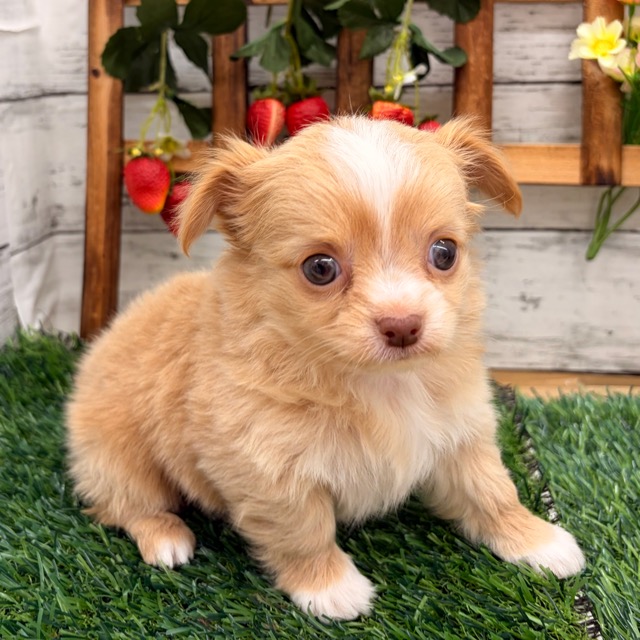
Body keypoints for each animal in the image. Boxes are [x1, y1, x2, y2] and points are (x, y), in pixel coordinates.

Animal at [66, 116, 585, 620]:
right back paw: (166, 538)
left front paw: (538, 540)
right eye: (320, 268)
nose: (403, 325)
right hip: (118, 455)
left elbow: (492, 491)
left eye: (444, 253)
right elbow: (303, 531)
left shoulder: (461, 434)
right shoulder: (268, 468)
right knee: (127, 504)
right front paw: (330, 587)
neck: (380, 385)